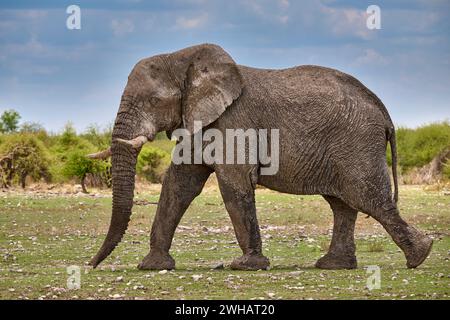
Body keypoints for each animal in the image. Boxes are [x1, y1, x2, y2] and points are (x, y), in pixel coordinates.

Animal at [88, 43, 432, 270]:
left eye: (154, 101)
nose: (91, 264)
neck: (186, 59)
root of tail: (384, 112)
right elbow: (178, 185)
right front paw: (154, 266)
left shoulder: (232, 121)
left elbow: (233, 183)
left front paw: (246, 265)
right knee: (343, 204)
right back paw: (334, 265)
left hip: (356, 143)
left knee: (368, 198)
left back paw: (420, 256)